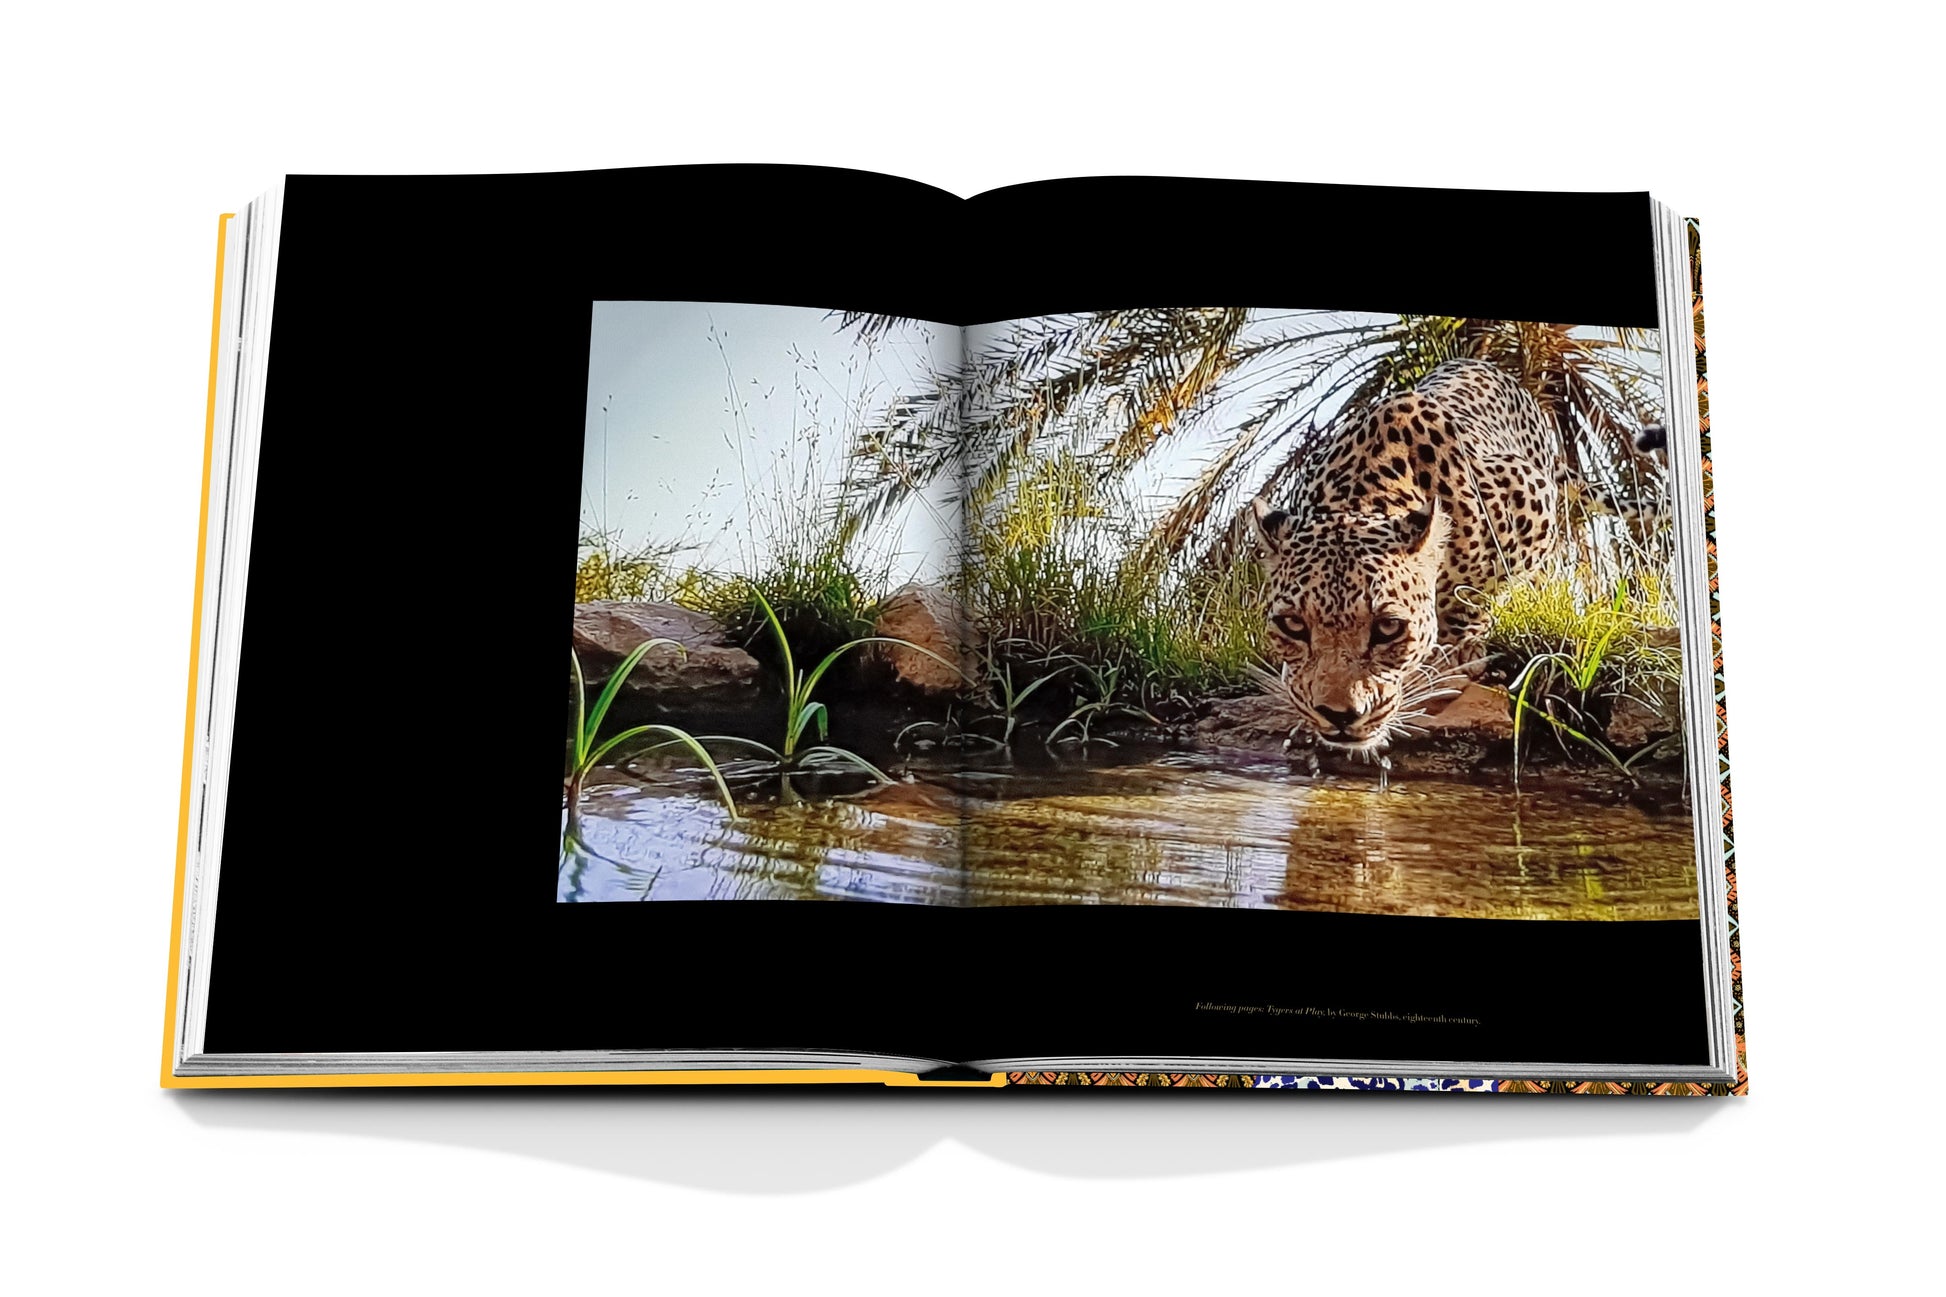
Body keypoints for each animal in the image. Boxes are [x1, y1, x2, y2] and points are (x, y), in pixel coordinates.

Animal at [1248, 356, 1661, 757]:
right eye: (1292, 625)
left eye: (1388, 628)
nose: (1339, 715)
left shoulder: (1532, 499)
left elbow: (1478, 595)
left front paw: (1463, 645)